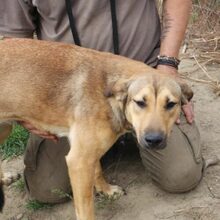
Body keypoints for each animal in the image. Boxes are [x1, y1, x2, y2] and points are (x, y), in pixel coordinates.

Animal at [0, 38, 192, 219]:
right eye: (140, 102)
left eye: (171, 104)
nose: (154, 140)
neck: (109, 94)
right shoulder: (79, 161)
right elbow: (86, 210)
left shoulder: (88, 153)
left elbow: (97, 170)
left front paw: (105, 190)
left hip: (4, 129)